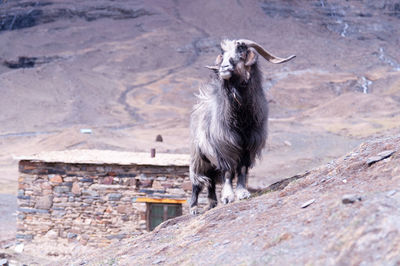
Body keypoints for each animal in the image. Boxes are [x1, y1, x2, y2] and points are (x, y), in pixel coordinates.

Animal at [189, 39, 296, 214]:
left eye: (241, 50)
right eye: (223, 53)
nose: (224, 68)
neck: (241, 121)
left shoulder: (249, 147)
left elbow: (242, 170)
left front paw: (243, 193)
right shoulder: (224, 147)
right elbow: (227, 173)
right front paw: (228, 197)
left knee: (211, 181)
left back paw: (212, 203)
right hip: (199, 157)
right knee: (197, 182)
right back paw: (194, 208)